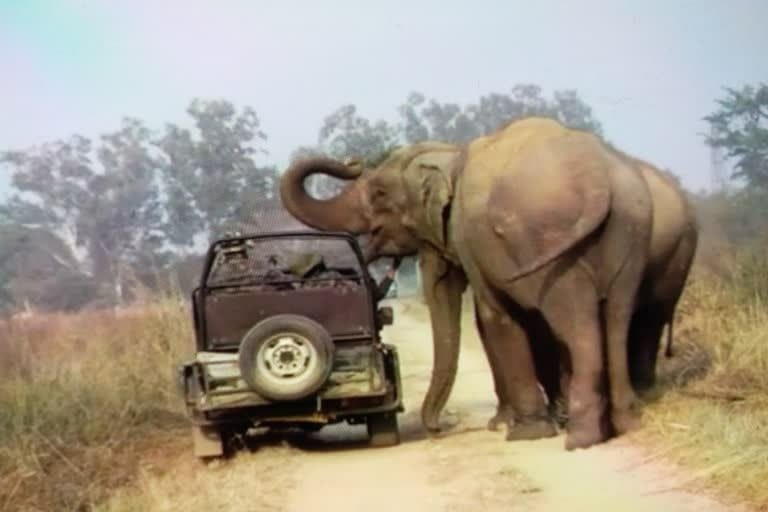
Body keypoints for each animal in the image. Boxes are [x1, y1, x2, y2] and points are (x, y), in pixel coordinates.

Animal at [280, 117, 654, 450]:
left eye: (380, 193)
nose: (437, 430)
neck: (451, 155)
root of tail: (597, 182)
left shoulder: (468, 236)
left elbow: (492, 315)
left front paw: (525, 433)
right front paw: (510, 424)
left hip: (553, 245)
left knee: (576, 323)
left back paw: (580, 438)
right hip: (629, 230)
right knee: (618, 316)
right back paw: (626, 424)